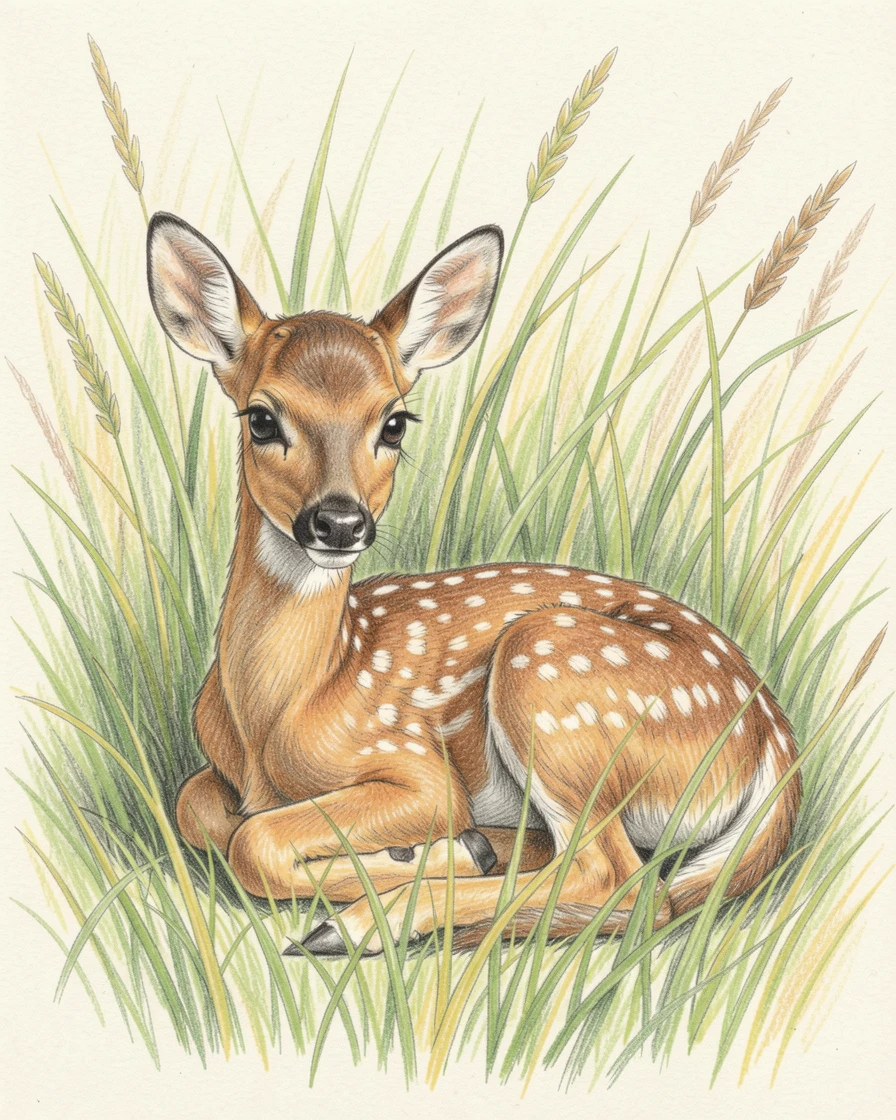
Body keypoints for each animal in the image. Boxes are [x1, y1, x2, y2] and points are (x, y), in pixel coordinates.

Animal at [147, 212, 800, 957]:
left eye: (394, 422)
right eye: (260, 417)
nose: (339, 522)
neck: (279, 713)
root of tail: (773, 740)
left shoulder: (417, 766)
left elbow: (253, 841)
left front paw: (417, 857)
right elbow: (197, 810)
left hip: (550, 680)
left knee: (622, 883)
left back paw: (370, 914)